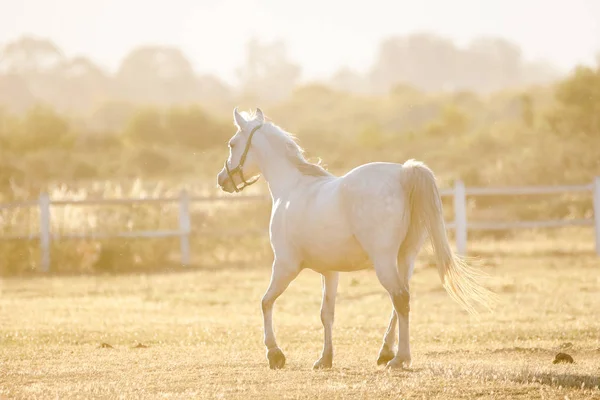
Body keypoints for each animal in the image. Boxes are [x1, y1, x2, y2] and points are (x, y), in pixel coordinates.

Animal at [218, 108, 494, 370]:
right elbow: (326, 313)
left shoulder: (285, 265)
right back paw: (386, 352)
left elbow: (265, 302)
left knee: (400, 298)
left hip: (383, 261)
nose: (222, 180)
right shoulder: (330, 272)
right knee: (401, 301)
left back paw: (400, 358)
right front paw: (325, 359)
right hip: (405, 258)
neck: (293, 188)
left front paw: (275, 355)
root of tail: (403, 173)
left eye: (232, 143)